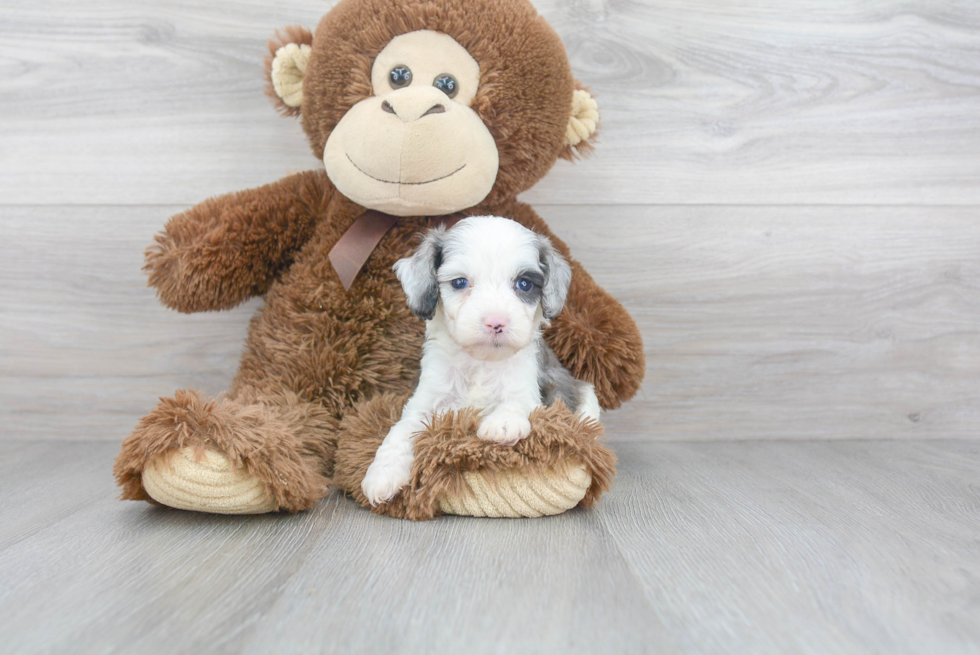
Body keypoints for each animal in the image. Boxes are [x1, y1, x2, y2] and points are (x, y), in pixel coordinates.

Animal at [362, 215, 600, 508]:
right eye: (460, 282)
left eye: (524, 284)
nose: (495, 322)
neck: (480, 363)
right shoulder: (427, 399)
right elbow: (402, 429)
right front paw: (382, 474)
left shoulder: (527, 385)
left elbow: (517, 403)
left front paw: (503, 423)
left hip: (586, 397)